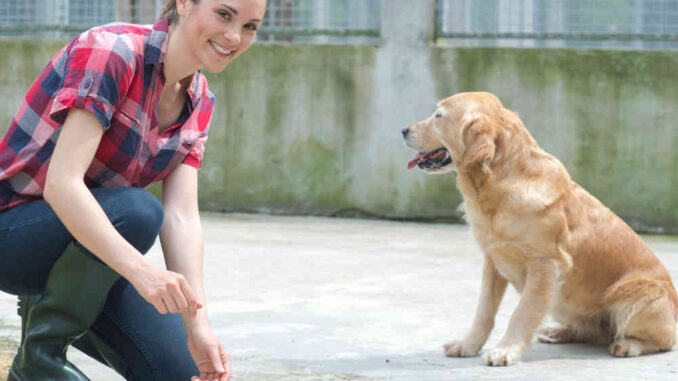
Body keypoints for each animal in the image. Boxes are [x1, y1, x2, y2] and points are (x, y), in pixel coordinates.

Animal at [404, 90, 678, 364]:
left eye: (438, 116)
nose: (404, 130)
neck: (499, 183)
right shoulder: (493, 261)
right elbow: (484, 312)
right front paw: (468, 345)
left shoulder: (546, 265)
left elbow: (522, 313)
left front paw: (506, 350)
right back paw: (558, 332)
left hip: (636, 294)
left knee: (664, 341)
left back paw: (628, 345)